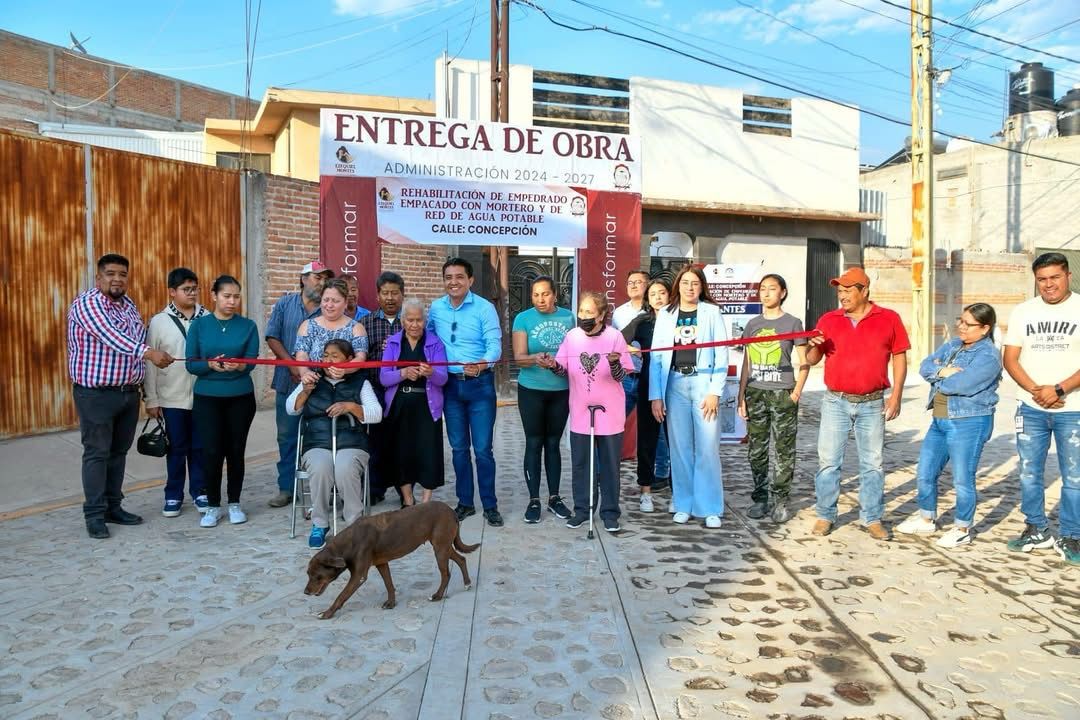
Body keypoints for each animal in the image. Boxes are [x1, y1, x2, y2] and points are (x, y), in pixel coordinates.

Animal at [300, 500, 477, 621]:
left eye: (317, 576)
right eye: (308, 574)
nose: (306, 592)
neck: (347, 544)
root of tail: (451, 510)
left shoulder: (358, 576)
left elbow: (341, 596)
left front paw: (326, 613)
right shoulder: (381, 564)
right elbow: (389, 584)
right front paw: (391, 603)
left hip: (440, 549)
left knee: (446, 574)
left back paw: (438, 596)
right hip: (444, 546)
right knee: (461, 559)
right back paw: (467, 583)